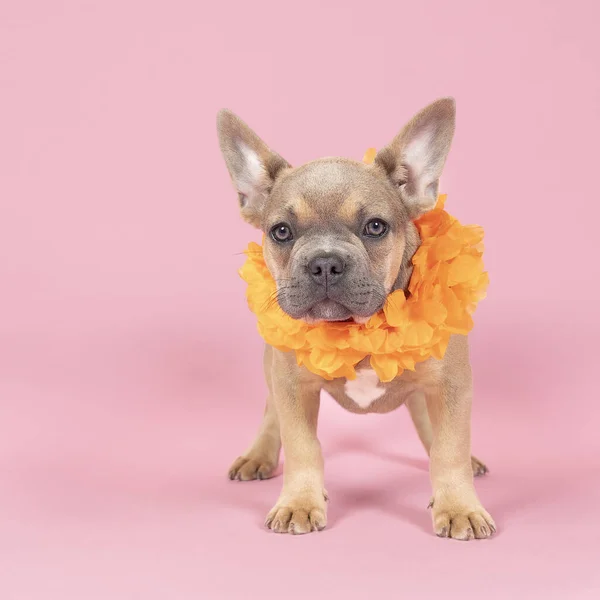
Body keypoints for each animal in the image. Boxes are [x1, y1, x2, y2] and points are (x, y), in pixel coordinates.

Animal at [214, 98, 492, 540]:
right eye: (281, 232)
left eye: (375, 227)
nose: (325, 263)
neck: (357, 329)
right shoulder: (293, 386)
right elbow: (303, 447)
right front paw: (299, 502)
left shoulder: (452, 384)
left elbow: (449, 450)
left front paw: (459, 507)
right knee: (271, 410)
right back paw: (258, 454)